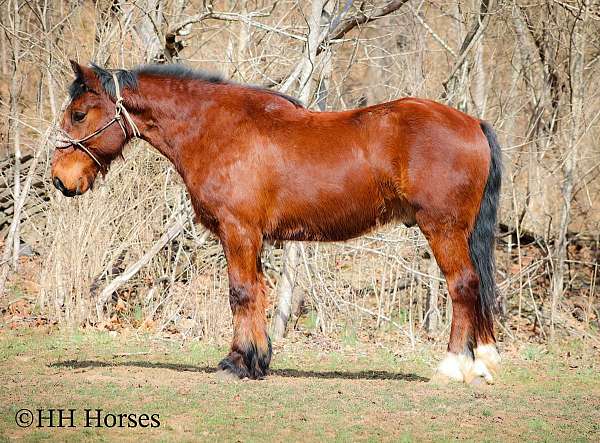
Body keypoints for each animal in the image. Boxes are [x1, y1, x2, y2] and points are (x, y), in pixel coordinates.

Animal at [50, 61, 502, 386]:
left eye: (79, 114)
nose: (59, 179)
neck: (217, 129)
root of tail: (472, 123)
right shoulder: (253, 238)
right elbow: (257, 293)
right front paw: (257, 360)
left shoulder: (238, 232)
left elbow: (241, 293)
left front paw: (237, 362)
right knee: (477, 285)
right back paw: (481, 364)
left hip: (442, 229)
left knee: (463, 285)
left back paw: (452, 367)